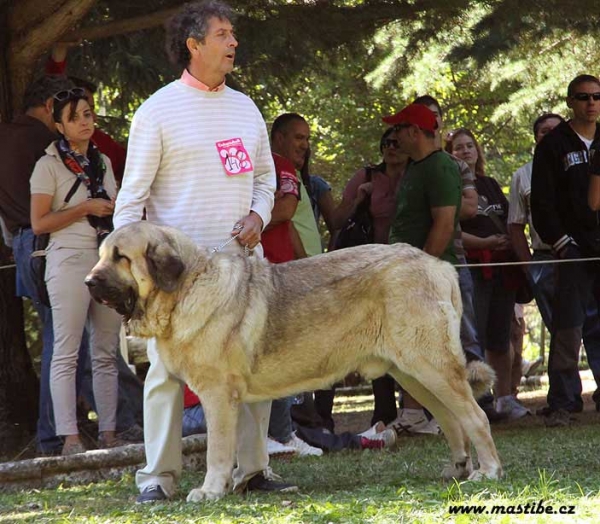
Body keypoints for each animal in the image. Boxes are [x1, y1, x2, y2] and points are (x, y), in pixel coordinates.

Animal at [86, 220, 504, 500]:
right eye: (102, 256)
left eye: (121, 258)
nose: (89, 282)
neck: (185, 288)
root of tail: (439, 265)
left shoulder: (218, 397)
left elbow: (217, 451)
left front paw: (210, 490)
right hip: (413, 372)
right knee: (451, 417)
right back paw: (456, 468)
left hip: (431, 366)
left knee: (474, 416)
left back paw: (488, 471)